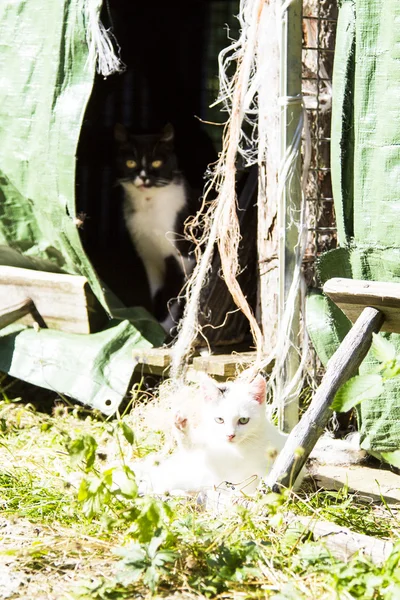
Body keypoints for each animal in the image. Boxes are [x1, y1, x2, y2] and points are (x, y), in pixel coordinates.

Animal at [114, 121, 197, 328]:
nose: (143, 177)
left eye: (157, 163)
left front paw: (164, 326)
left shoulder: (183, 257)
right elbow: (158, 293)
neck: (149, 207)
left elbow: (173, 296)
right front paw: (154, 322)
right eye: (130, 163)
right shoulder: (149, 258)